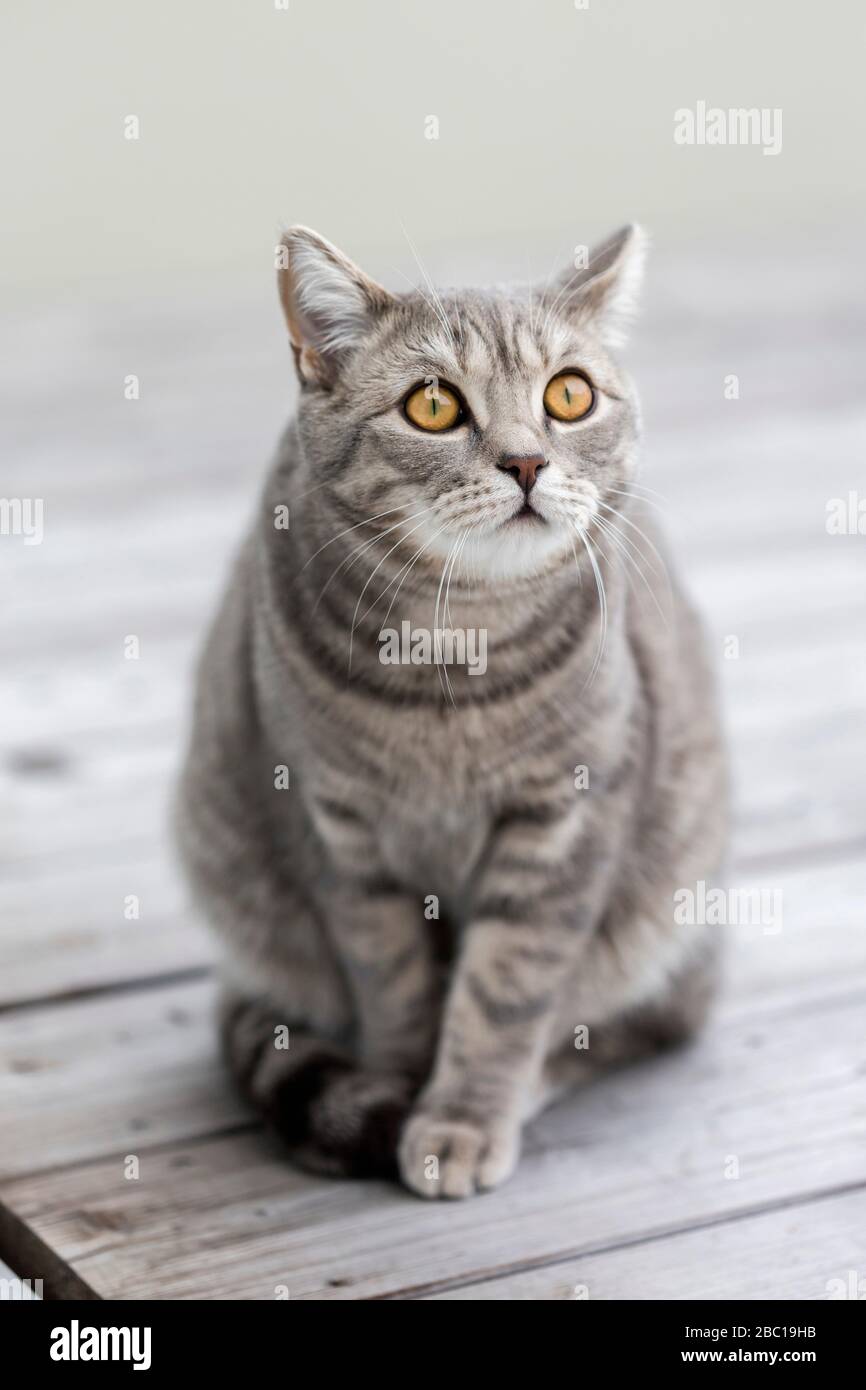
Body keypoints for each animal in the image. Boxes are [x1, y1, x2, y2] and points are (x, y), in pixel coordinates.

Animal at [179, 222, 728, 1200]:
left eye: (569, 394)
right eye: (433, 406)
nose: (526, 461)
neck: (452, 661)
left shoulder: (565, 820)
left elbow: (505, 992)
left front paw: (462, 1119)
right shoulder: (333, 825)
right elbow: (392, 978)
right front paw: (397, 1085)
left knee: (635, 1021)